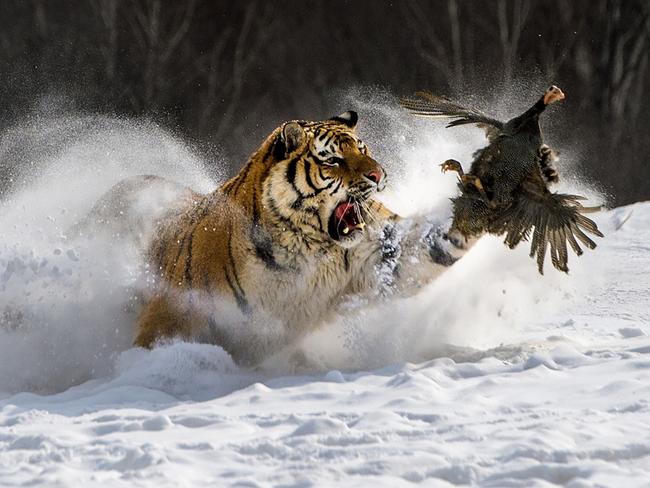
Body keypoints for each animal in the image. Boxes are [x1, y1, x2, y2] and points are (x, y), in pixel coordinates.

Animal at [87, 109, 470, 362]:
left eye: (363, 150)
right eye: (333, 161)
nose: (379, 176)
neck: (310, 247)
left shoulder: (382, 254)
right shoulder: (175, 308)